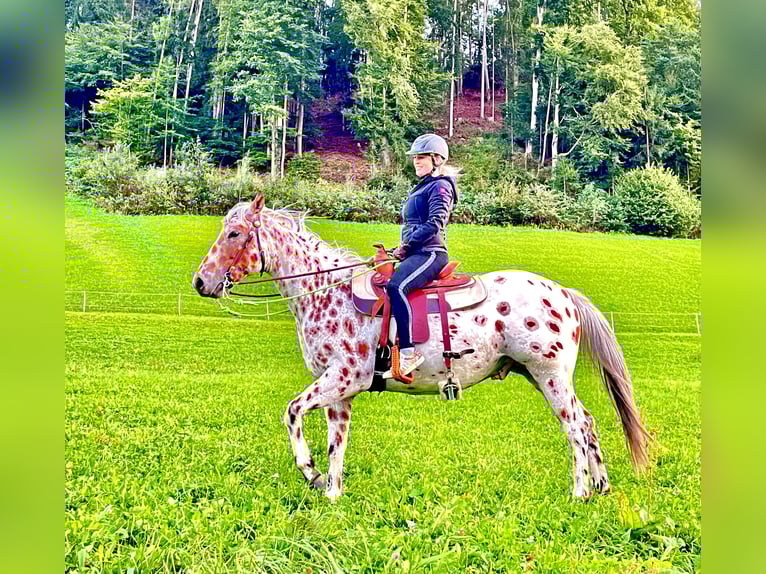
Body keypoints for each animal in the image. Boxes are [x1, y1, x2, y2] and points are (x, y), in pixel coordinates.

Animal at [193, 194, 649, 502]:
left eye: (234, 233)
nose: (201, 282)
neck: (327, 291)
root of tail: (564, 293)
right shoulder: (339, 391)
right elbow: (337, 443)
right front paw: (332, 493)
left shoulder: (342, 378)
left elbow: (292, 413)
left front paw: (311, 473)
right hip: (542, 378)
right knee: (587, 422)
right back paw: (601, 486)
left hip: (550, 376)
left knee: (574, 426)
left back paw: (580, 491)